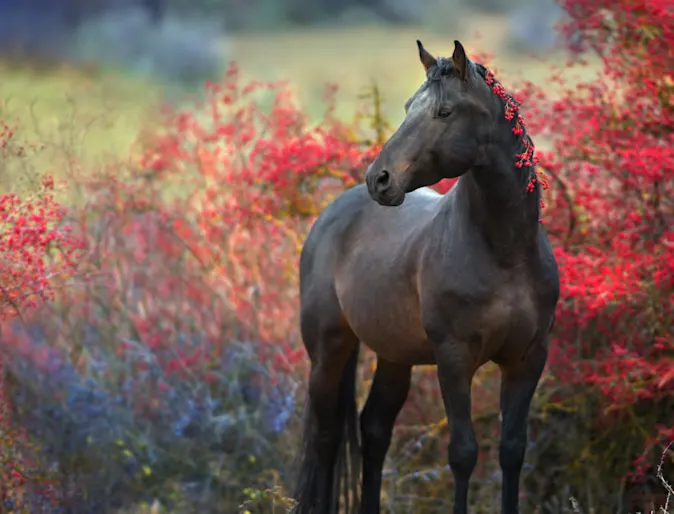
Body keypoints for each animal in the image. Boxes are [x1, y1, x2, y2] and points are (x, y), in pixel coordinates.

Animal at [293, 39, 560, 514]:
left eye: (444, 111)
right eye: (406, 107)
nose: (379, 179)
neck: (505, 253)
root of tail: (333, 213)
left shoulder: (528, 357)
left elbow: (512, 450)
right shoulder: (454, 359)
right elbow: (464, 452)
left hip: (394, 354)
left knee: (374, 430)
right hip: (328, 352)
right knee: (325, 438)